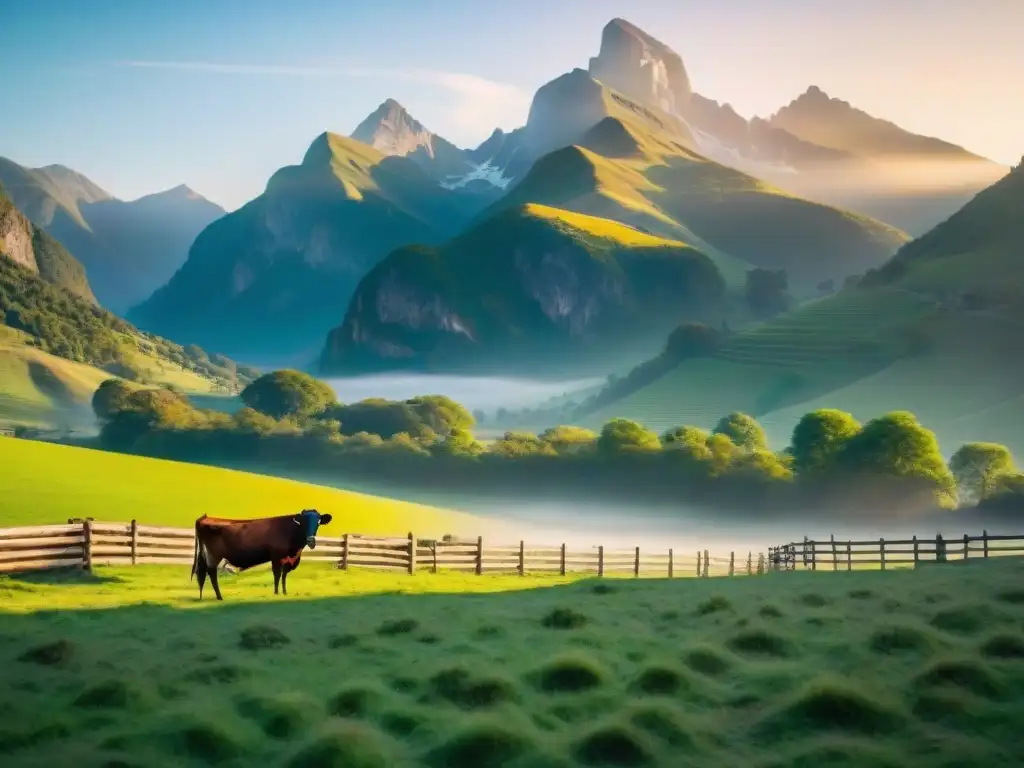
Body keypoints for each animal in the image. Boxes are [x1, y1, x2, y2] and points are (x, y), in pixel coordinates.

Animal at [190, 512, 333, 602]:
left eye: (318, 522)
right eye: (303, 522)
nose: (311, 541)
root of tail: (205, 518)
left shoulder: (287, 560)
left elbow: (284, 576)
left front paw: (285, 592)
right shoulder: (276, 557)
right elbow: (277, 575)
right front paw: (276, 593)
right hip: (214, 555)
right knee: (212, 573)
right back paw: (220, 597)